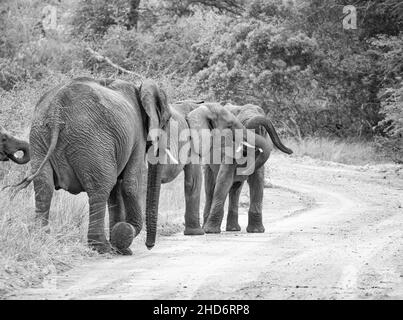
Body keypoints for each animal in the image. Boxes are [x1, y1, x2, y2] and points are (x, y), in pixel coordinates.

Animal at [7, 76, 172, 254]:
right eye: (167, 120)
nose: (149, 246)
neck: (139, 89)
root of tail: (56, 111)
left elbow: (116, 191)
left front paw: (120, 244)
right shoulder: (137, 138)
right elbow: (130, 185)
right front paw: (123, 238)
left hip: (39, 137)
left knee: (44, 186)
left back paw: (42, 237)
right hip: (91, 141)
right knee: (101, 188)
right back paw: (102, 247)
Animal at [186, 104, 294, 234]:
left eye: (261, 130)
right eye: (241, 124)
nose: (291, 151)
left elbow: (257, 181)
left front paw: (256, 231)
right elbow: (224, 179)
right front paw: (211, 231)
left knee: (235, 190)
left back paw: (233, 229)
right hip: (208, 164)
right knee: (211, 188)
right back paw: (207, 228)